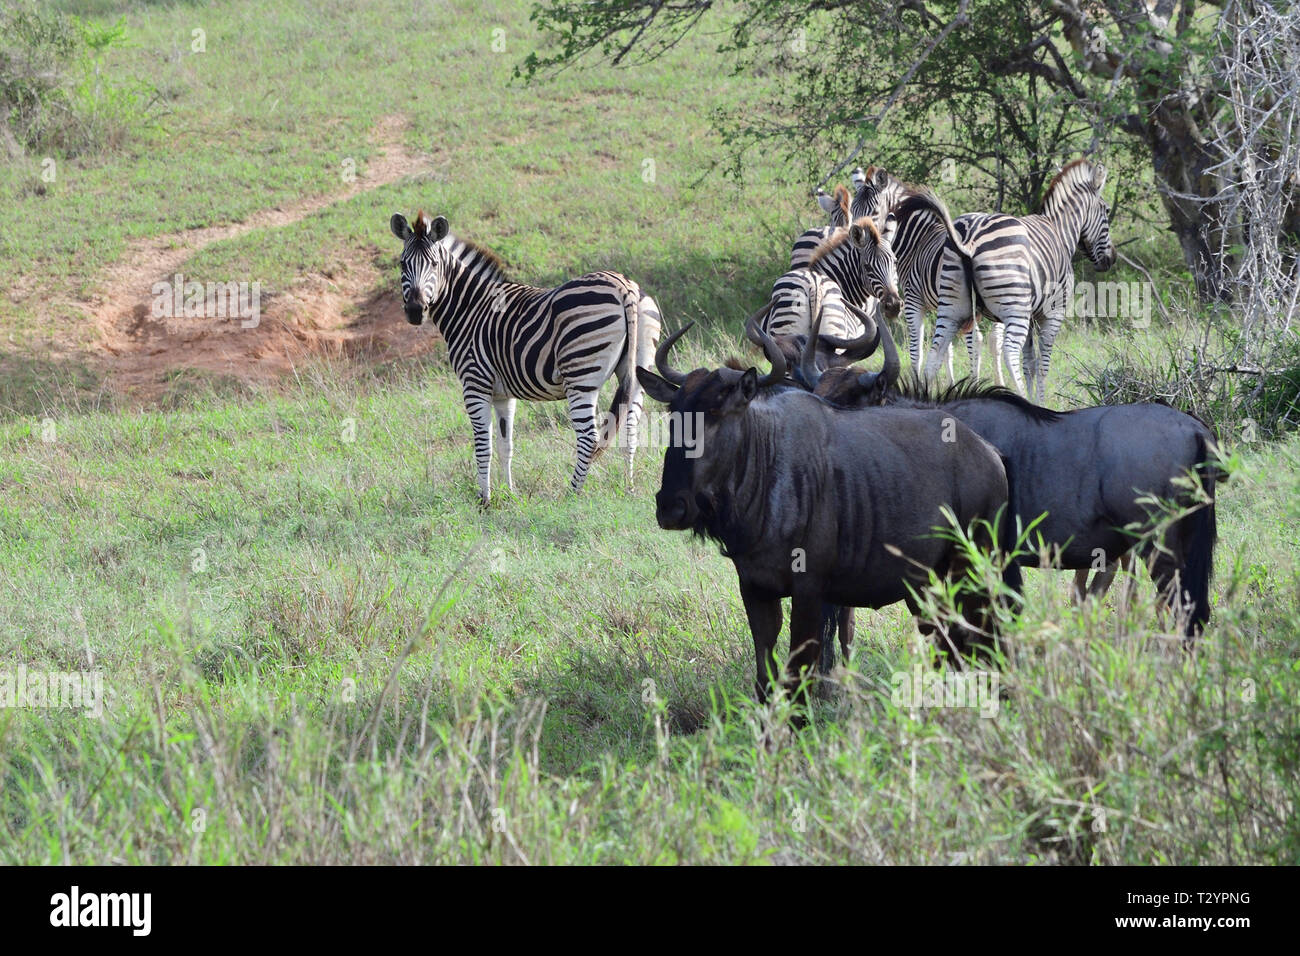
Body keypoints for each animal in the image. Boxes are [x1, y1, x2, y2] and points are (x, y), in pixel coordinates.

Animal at [387, 212, 660, 504]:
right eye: (402, 264)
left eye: (434, 264)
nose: (415, 311)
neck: (469, 309)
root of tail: (624, 286)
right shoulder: (503, 394)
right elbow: (506, 445)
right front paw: (510, 493)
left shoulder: (475, 384)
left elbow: (483, 446)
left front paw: (485, 499)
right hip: (638, 369)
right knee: (630, 430)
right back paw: (628, 487)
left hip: (580, 376)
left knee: (589, 438)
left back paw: (571, 494)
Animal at [925, 158, 1118, 398]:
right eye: (1106, 210)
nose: (1111, 259)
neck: (1060, 230)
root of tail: (969, 237)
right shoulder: (1052, 313)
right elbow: (1043, 365)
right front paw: (1039, 401)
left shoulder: (1032, 314)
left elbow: (1030, 364)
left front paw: (1036, 400)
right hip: (1014, 307)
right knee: (1009, 353)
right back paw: (1020, 397)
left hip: (952, 306)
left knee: (934, 355)